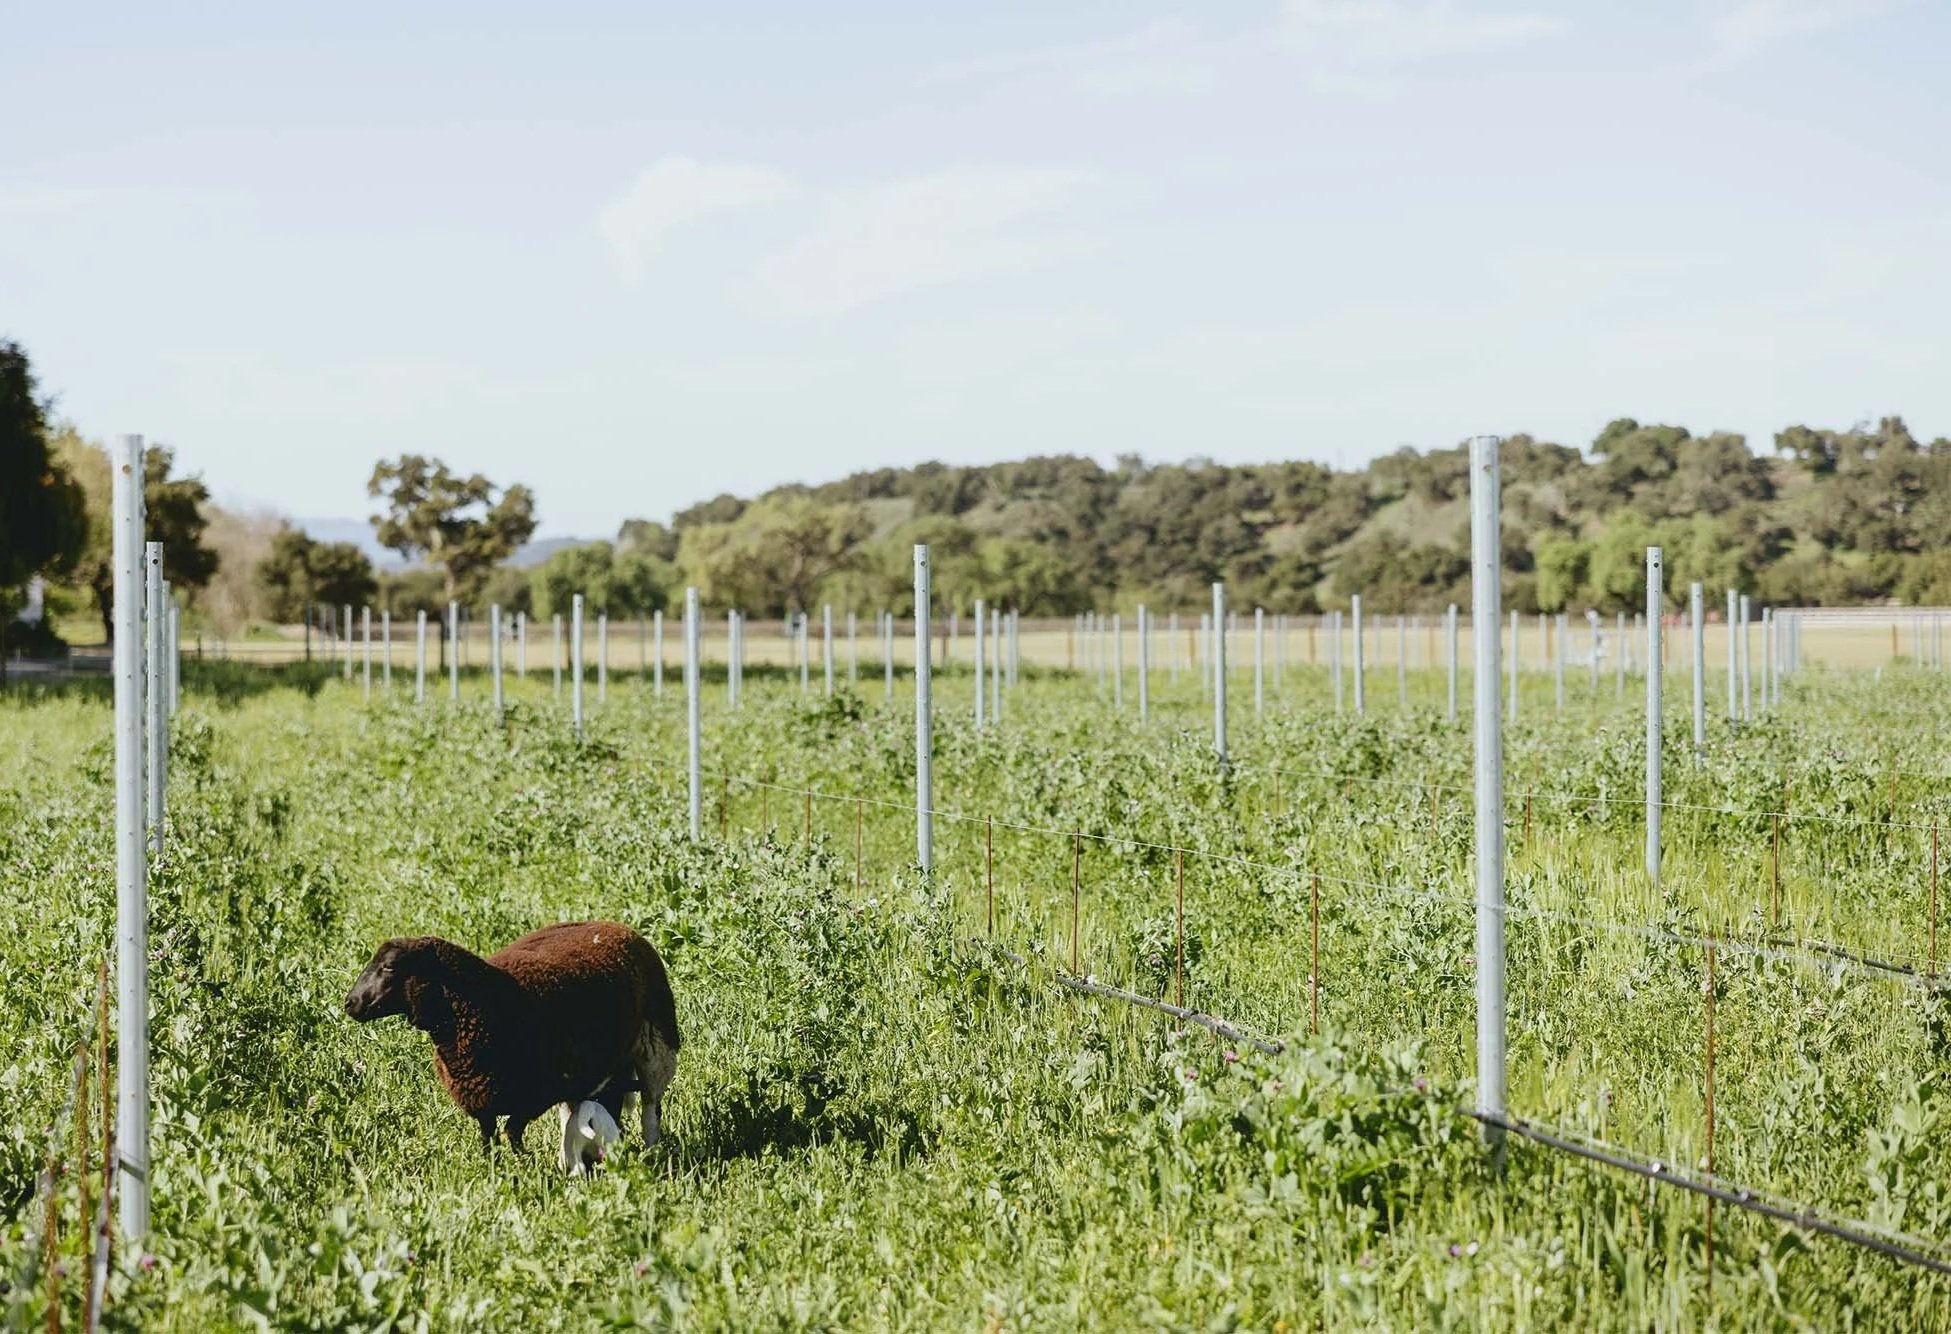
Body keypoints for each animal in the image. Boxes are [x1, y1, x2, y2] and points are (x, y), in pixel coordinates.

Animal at [344, 920, 680, 1160]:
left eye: (390, 966)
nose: (350, 1003)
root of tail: (617, 926)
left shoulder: (531, 1098)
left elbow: (511, 1135)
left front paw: (522, 1165)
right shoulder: (482, 1101)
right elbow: (489, 1138)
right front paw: (493, 1168)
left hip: (657, 1048)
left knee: (651, 1109)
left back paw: (651, 1153)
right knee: (576, 1114)